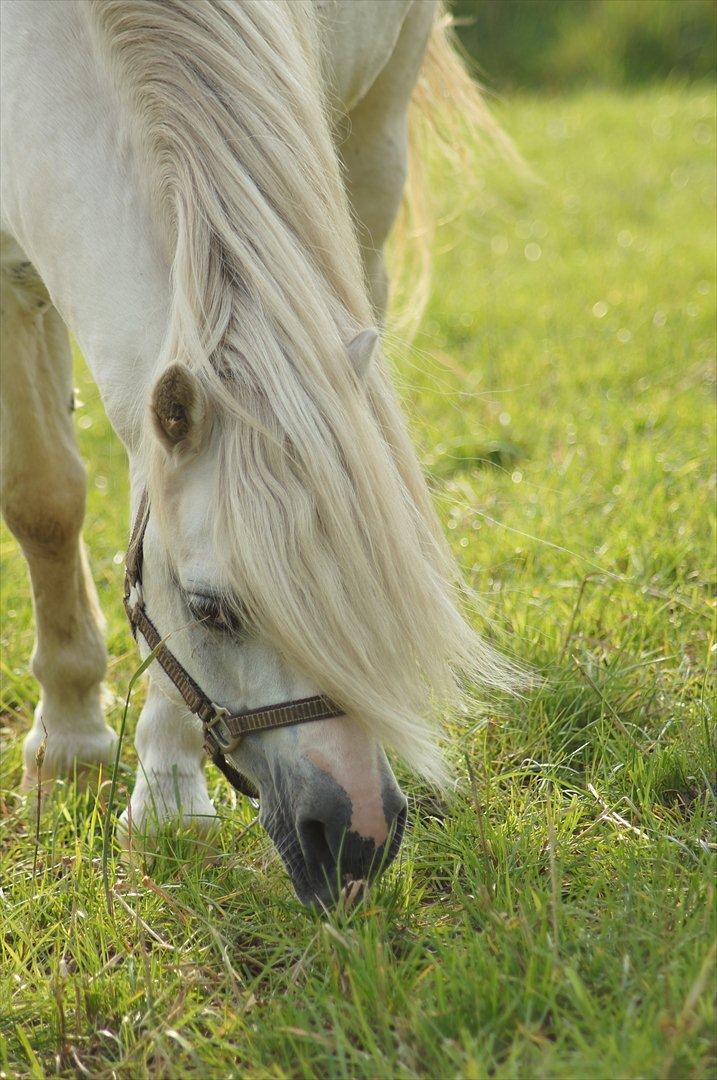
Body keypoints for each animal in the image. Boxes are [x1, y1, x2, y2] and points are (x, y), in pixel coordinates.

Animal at [0, 0, 516, 907]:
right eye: (210, 610)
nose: (357, 838)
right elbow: (43, 499)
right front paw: (69, 745)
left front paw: (166, 799)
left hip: (375, 124)